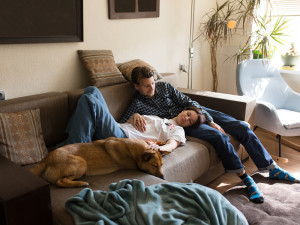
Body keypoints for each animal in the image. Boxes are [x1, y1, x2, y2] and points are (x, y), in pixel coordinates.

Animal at [29, 137, 164, 188]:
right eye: (154, 165)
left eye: (162, 165)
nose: (164, 177)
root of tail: (46, 158)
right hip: (82, 163)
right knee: (60, 181)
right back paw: (80, 183)